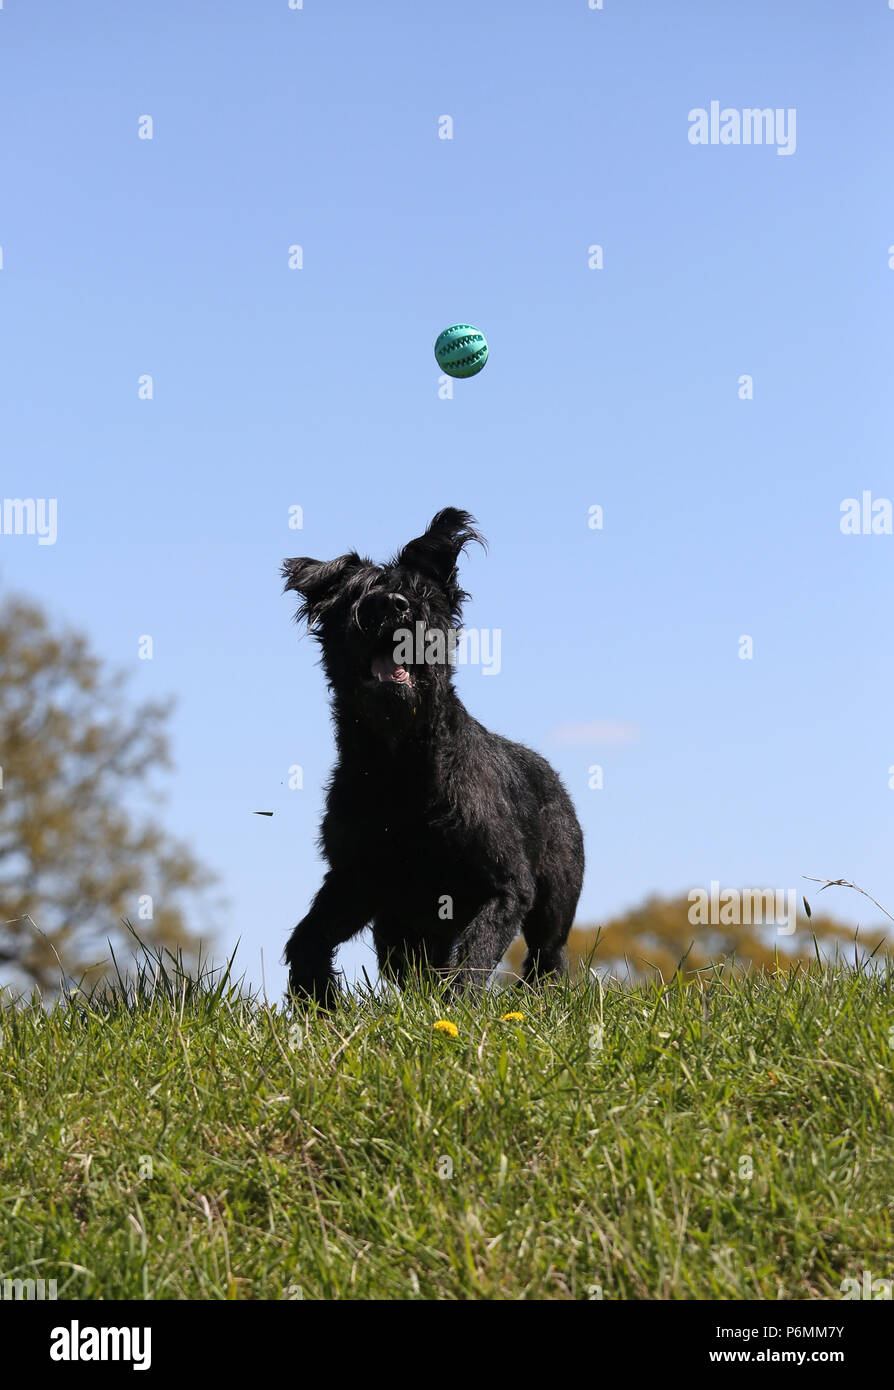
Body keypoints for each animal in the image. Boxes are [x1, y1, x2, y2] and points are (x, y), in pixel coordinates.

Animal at [283, 505, 583, 1006]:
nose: (391, 606)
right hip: (397, 928)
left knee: (548, 956)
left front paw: (459, 1006)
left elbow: (477, 949)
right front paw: (317, 1000)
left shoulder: (506, 885)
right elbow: (308, 937)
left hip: (555, 899)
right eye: (357, 595)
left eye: (419, 594)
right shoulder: (357, 877)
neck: (398, 760)